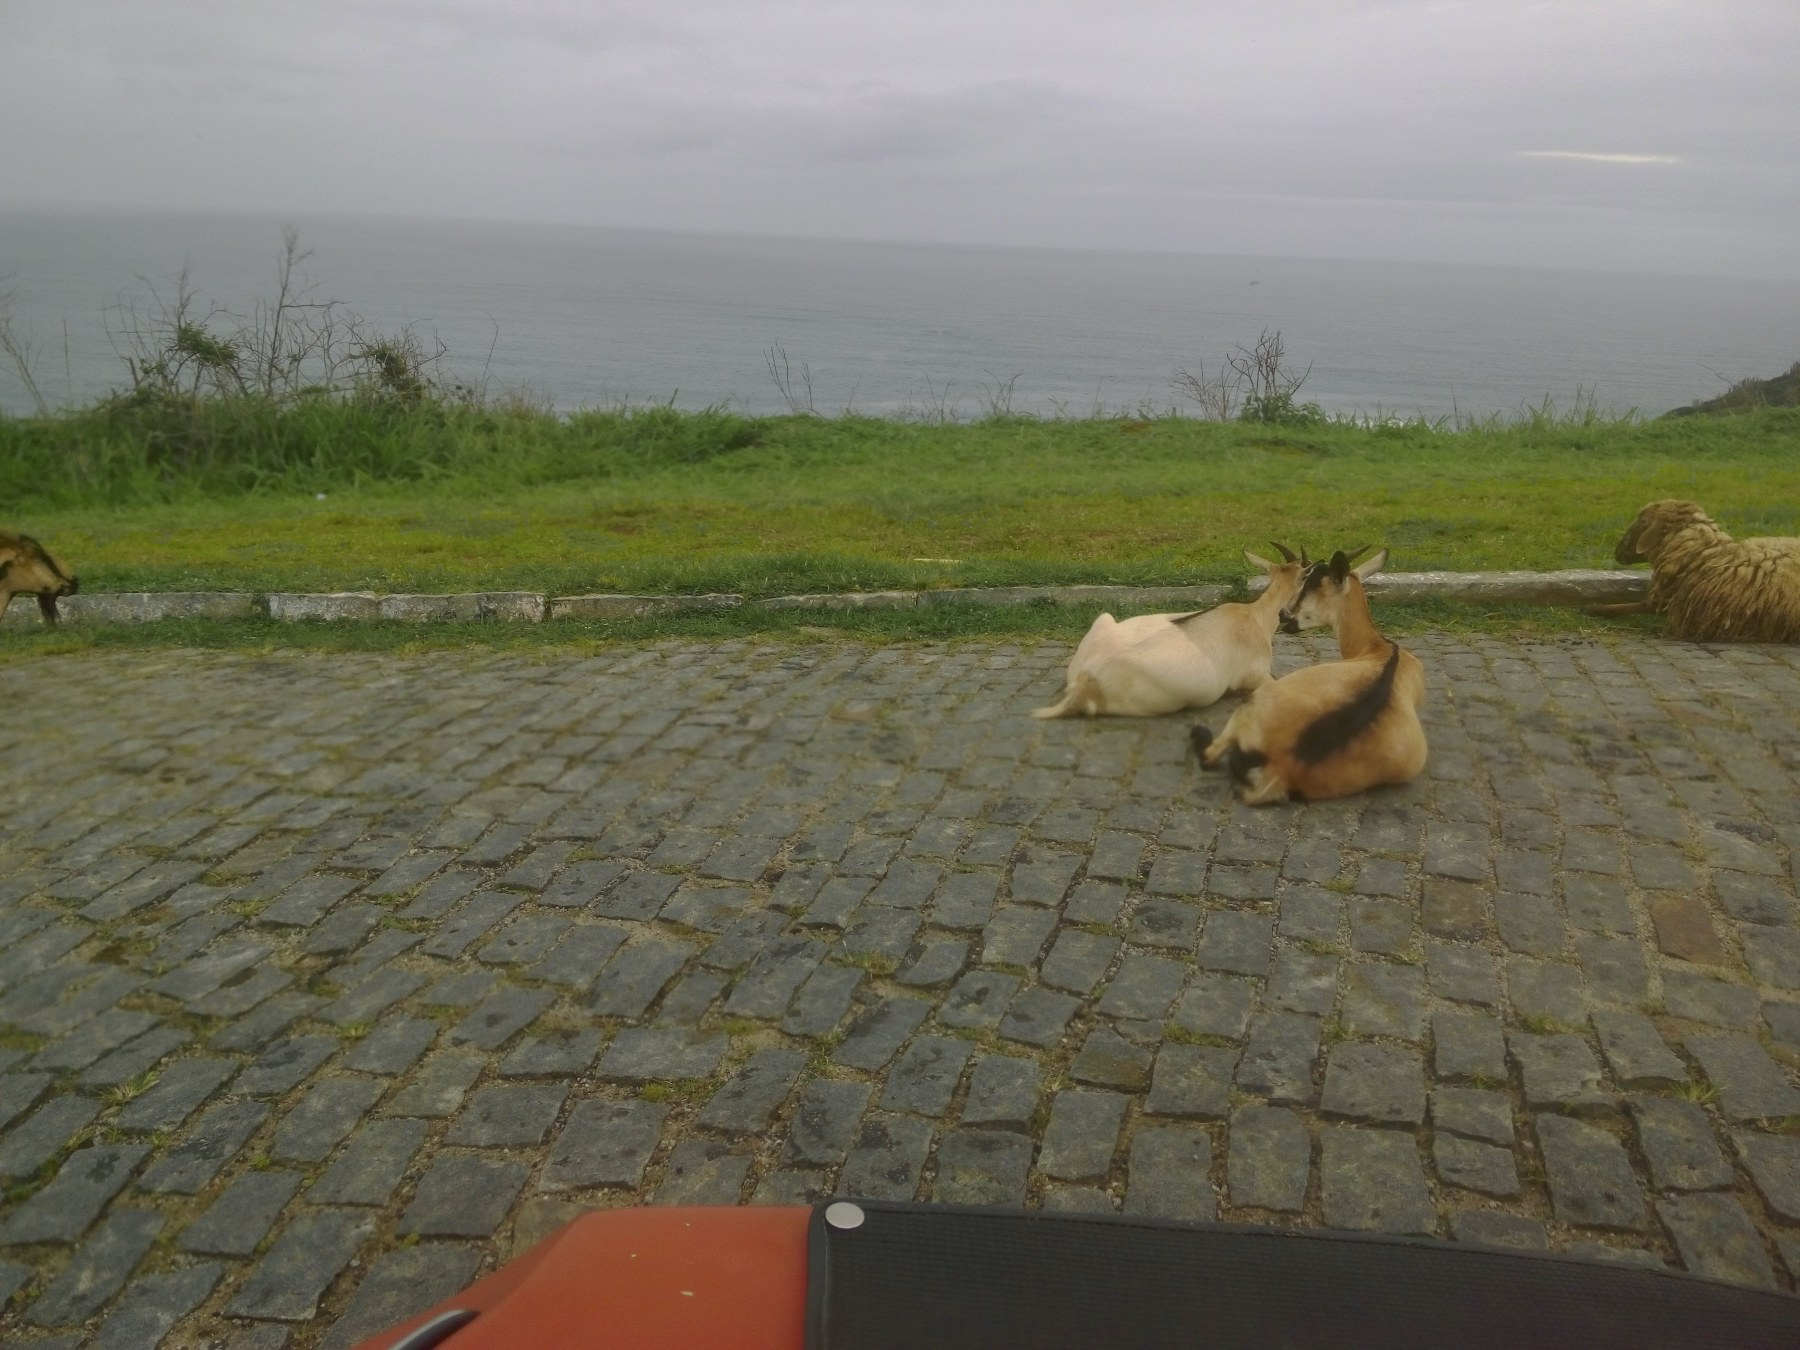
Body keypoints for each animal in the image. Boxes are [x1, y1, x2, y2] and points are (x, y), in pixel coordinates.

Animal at [1192, 546, 1427, 804]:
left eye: (1309, 584)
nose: (1283, 614)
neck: (1379, 649)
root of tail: (1281, 765)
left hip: (1251, 703)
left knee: (1209, 755)